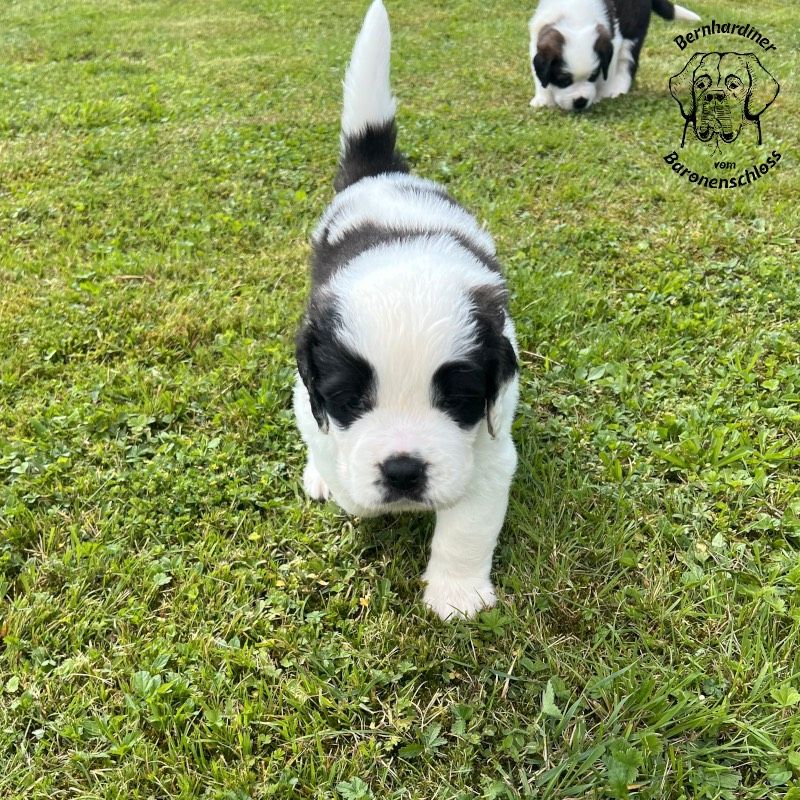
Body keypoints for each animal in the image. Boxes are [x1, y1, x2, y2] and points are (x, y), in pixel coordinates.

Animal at [294, 0, 520, 620]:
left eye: (456, 399)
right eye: (351, 399)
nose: (401, 469)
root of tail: (382, 174)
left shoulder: (489, 448)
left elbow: (466, 526)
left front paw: (457, 595)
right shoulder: (311, 398)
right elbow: (331, 449)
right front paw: (344, 486)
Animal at [532, 0, 700, 111]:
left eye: (593, 76)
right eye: (563, 80)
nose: (580, 101)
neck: (574, 18)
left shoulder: (612, 42)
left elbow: (608, 73)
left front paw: (601, 95)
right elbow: (540, 76)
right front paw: (543, 99)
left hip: (633, 29)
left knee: (627, 62)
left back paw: (619, 88)